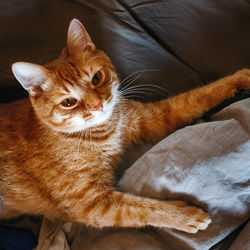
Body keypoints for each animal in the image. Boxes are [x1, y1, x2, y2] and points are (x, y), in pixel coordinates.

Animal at [0, 18, 250, 233]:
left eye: (96, 78)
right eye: (68, 102)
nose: (98, 105)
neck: (106, 131)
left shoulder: (155, 117)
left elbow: (200, 95)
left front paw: (241, 78)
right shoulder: (92, 205)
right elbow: (142, 208)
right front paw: (185, 216)